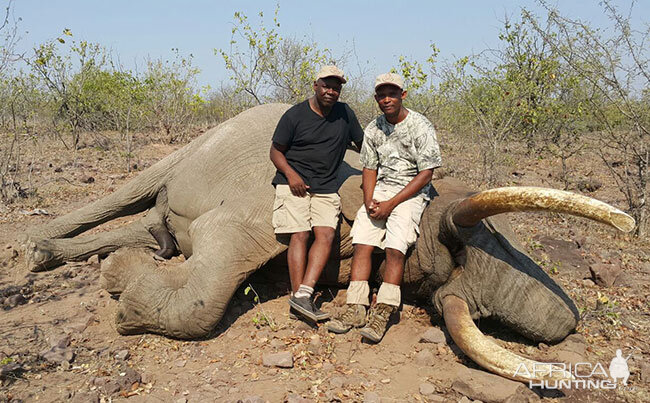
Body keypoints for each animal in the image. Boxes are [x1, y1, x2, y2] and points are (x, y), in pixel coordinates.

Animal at [25, 102, 632, 384]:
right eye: (463, 244)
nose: (570, 326)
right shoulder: (262, 205)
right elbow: (215, 271)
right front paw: (121, 296)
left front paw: (118, 275)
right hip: (196, 145)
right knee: (137, 192)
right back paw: (40, 251)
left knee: (152, 218)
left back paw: (113, 250)